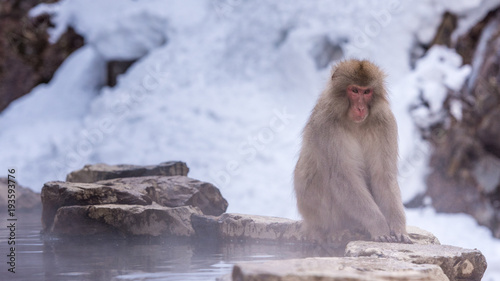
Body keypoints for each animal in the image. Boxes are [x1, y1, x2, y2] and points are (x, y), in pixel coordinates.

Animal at [292, 58, 410, 243]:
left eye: (366, 91)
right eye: (354, 90)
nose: (360, 108)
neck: (356, 124)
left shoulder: (386, 122)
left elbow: (383, 175)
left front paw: (398, 227)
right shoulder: (324, 124)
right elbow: (343, 176)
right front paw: (379, 226)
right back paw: (339, 230)